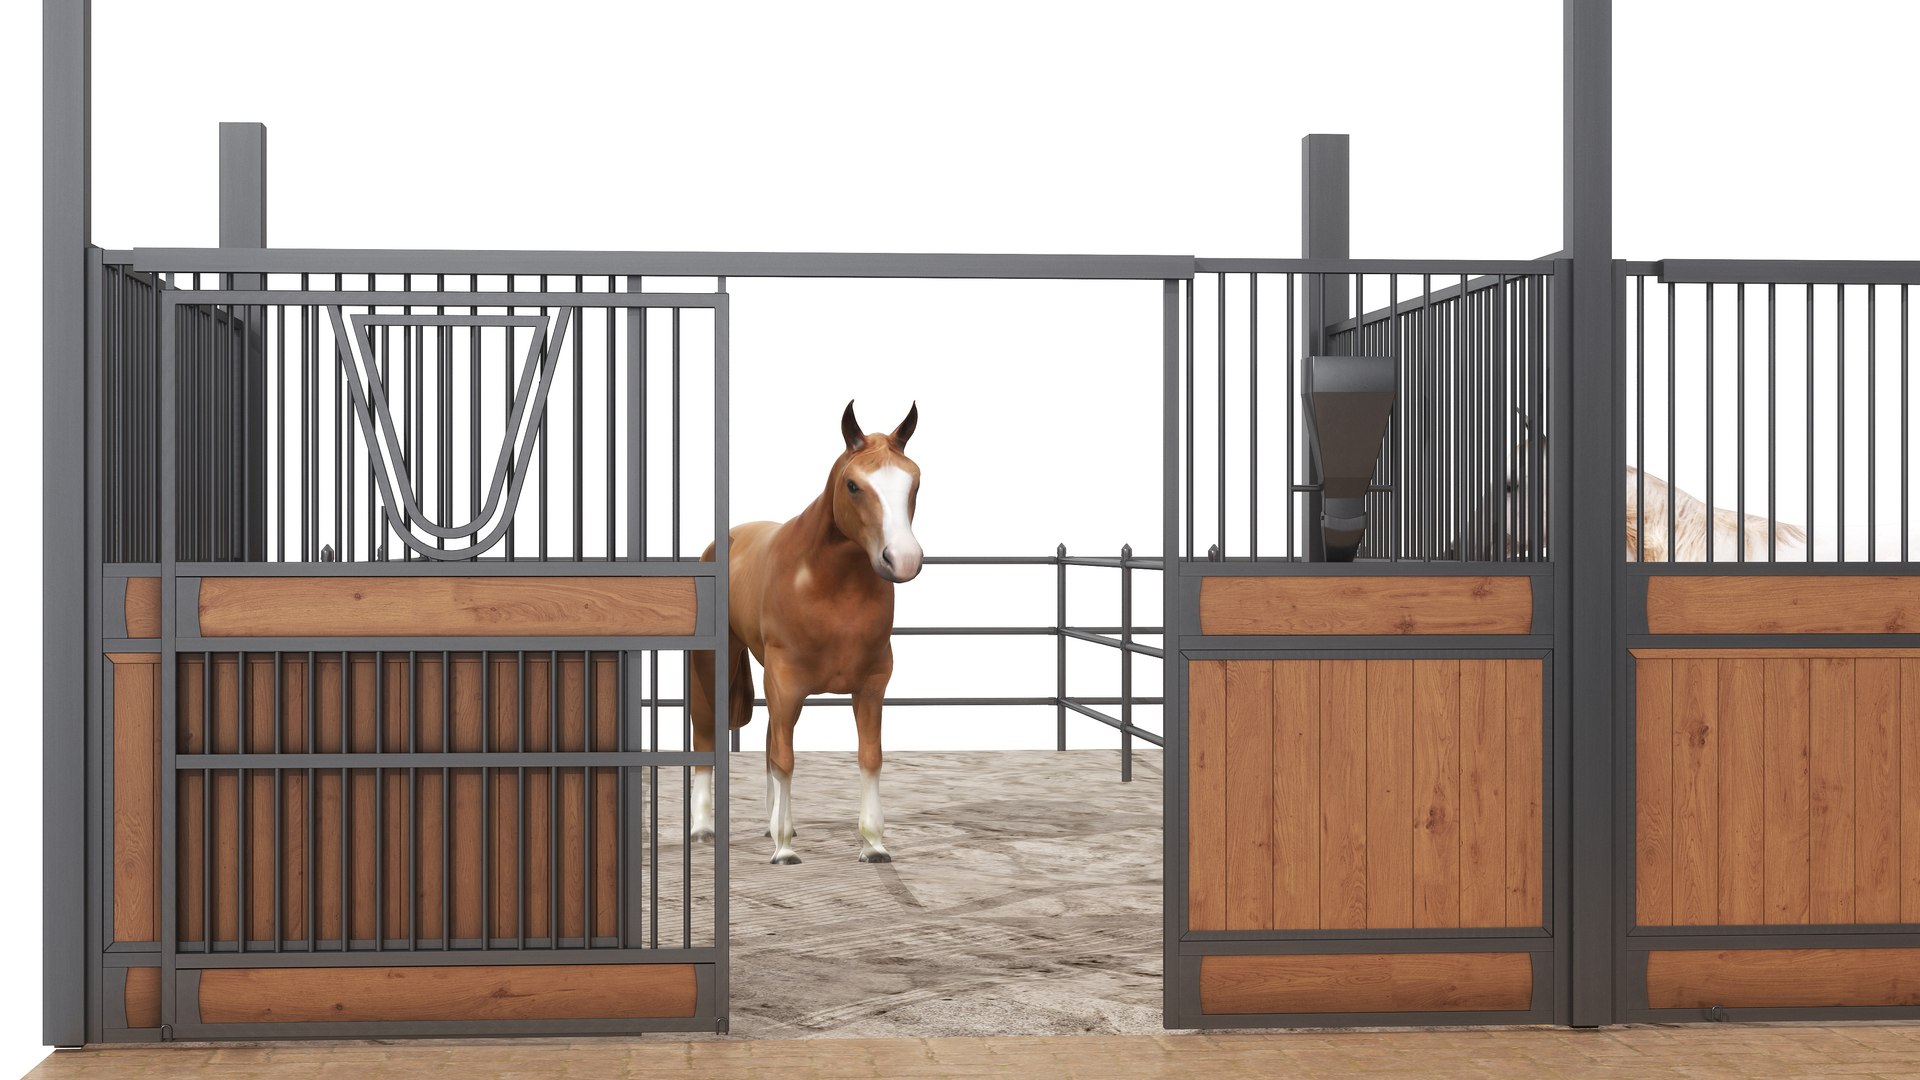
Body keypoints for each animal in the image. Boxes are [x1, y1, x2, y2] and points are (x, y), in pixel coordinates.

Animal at [687, 401, 923, 864]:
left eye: (915, 481)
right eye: (853, 485)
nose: (903, 559)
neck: (829, 586)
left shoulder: (872, 683)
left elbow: (870, 757)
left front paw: (873, 844)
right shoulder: (785, 682)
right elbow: (785, 759)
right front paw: (784, 850)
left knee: (766, 737)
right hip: (714, 666)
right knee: (707, 731)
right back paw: (705, 828)